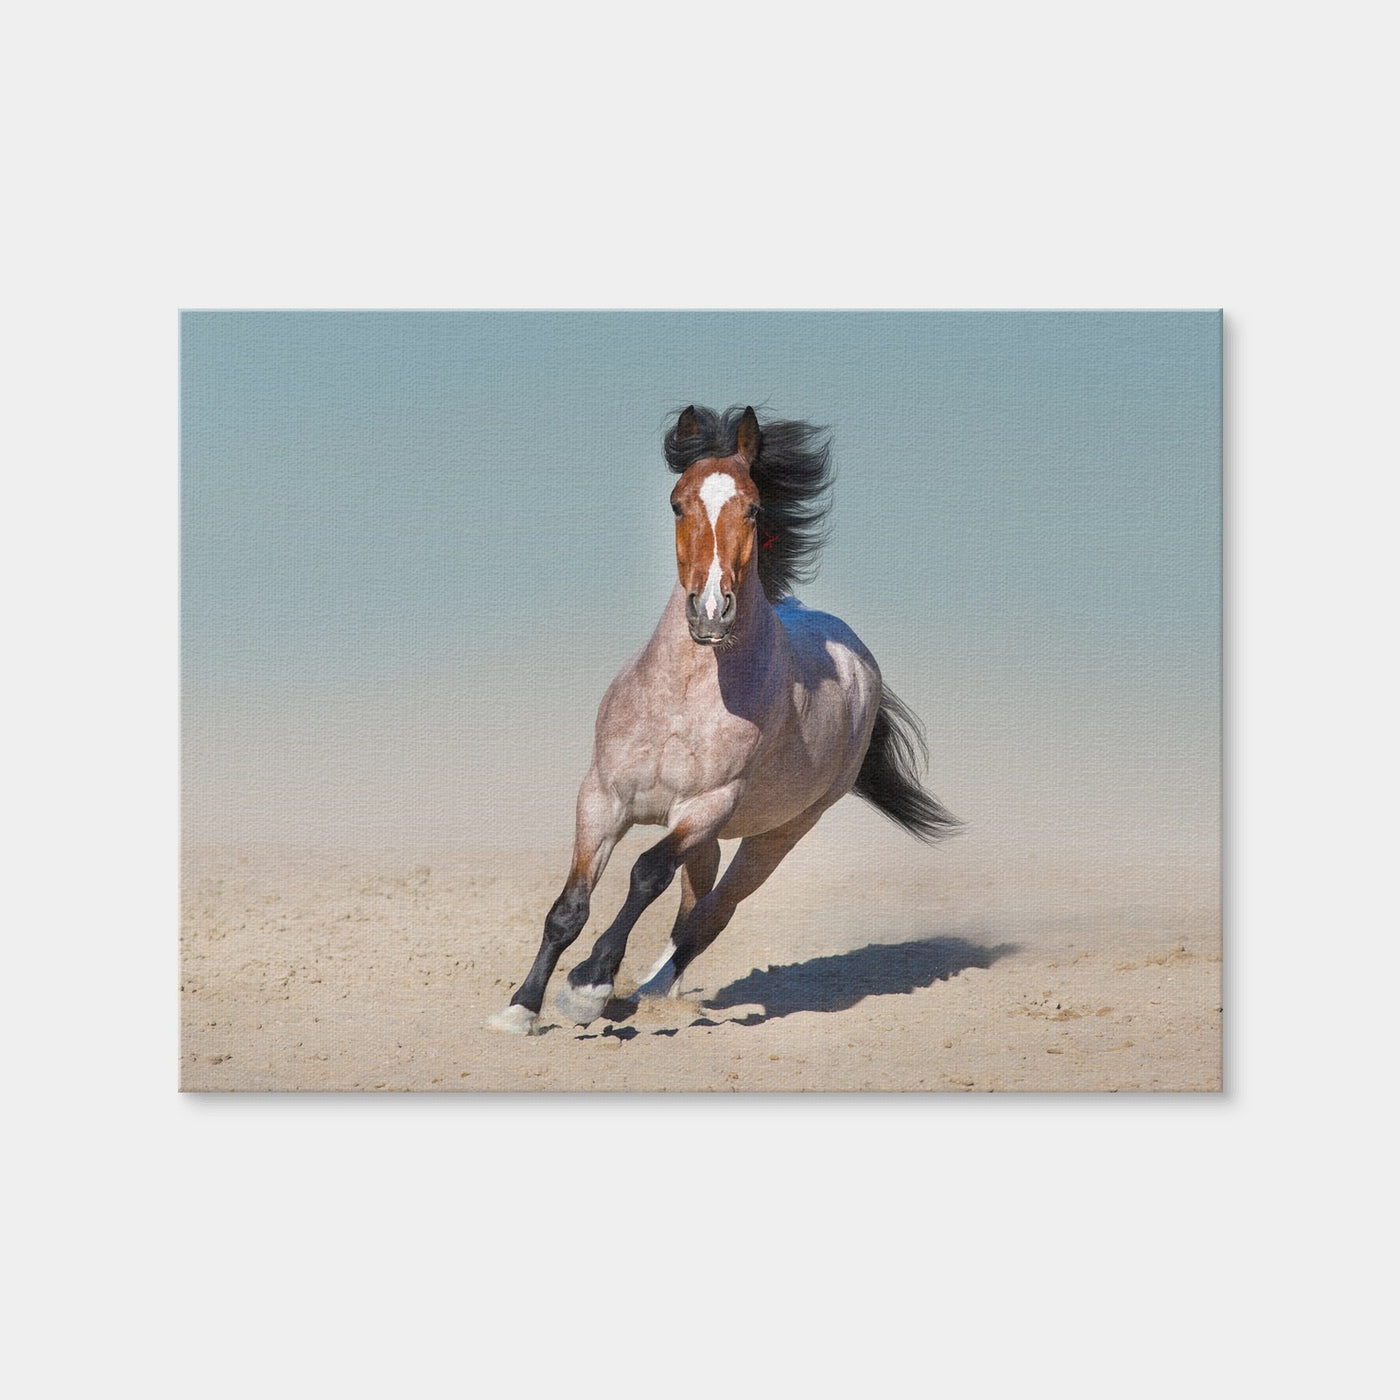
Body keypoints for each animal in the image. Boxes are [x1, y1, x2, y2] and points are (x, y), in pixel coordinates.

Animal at [488, 404, 958, 1035]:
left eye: (753, 507)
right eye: (676, 503)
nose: (711, 611)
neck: (684, 699)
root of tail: (859, 661)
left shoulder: (706, 806)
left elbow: (646, 875)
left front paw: (587, 987)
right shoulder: (603, 798)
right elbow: (569, 907)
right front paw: (521, 1007)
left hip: (778, 834)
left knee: (712, 914)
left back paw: (646, 991)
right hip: (709, 841)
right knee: (693, 907)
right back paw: (645, 991)